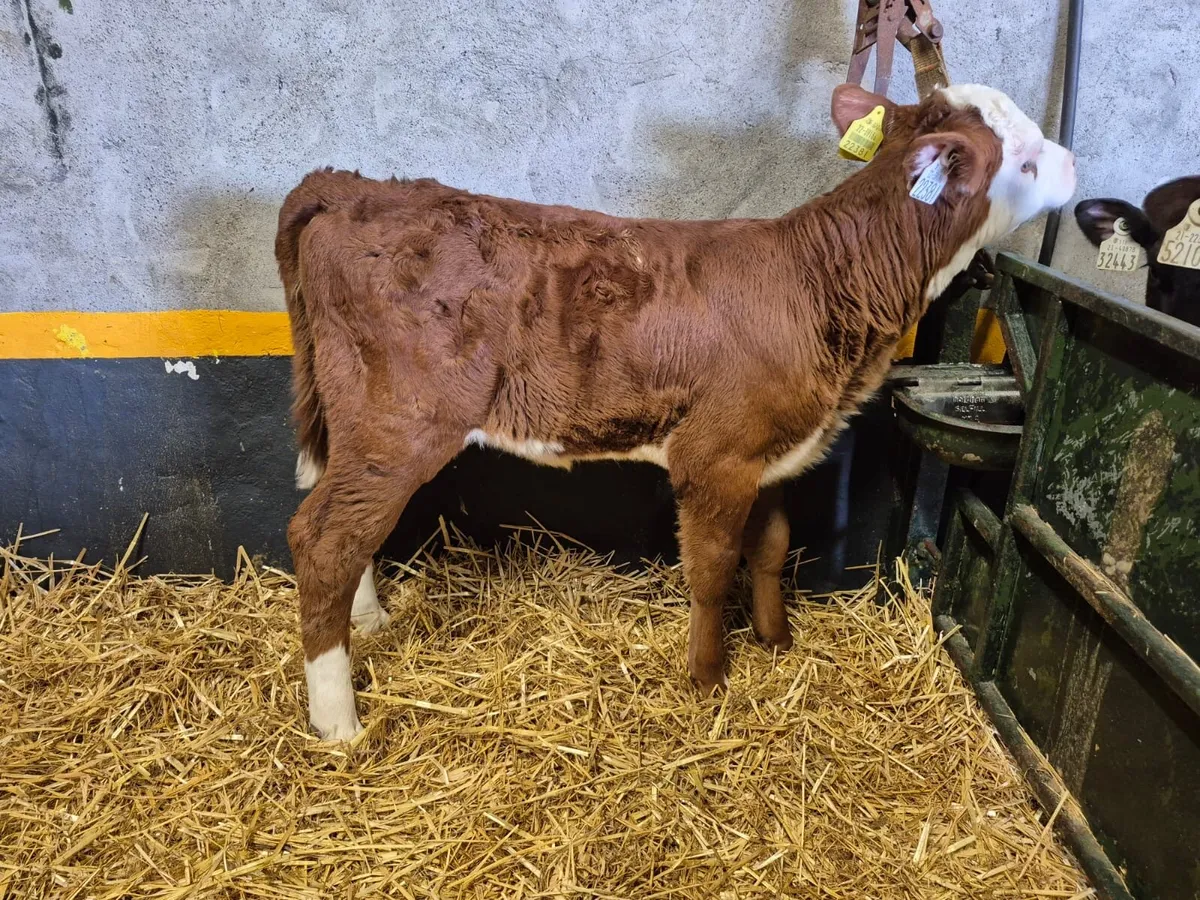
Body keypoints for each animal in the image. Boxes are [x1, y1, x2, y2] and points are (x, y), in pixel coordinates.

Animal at [276, 83, 1076, 740]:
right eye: (1025, 159)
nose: (1073, 161)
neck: (823, 281)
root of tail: (346, 186)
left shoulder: (770, 450)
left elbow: (772, 546)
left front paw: (776, 642)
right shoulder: (714, 454)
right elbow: (713, 567)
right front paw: (709, 678)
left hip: (355, 424)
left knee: (340, 529)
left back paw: (370, 623)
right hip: (399, 420)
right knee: (324, 537)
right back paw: (339, 723)